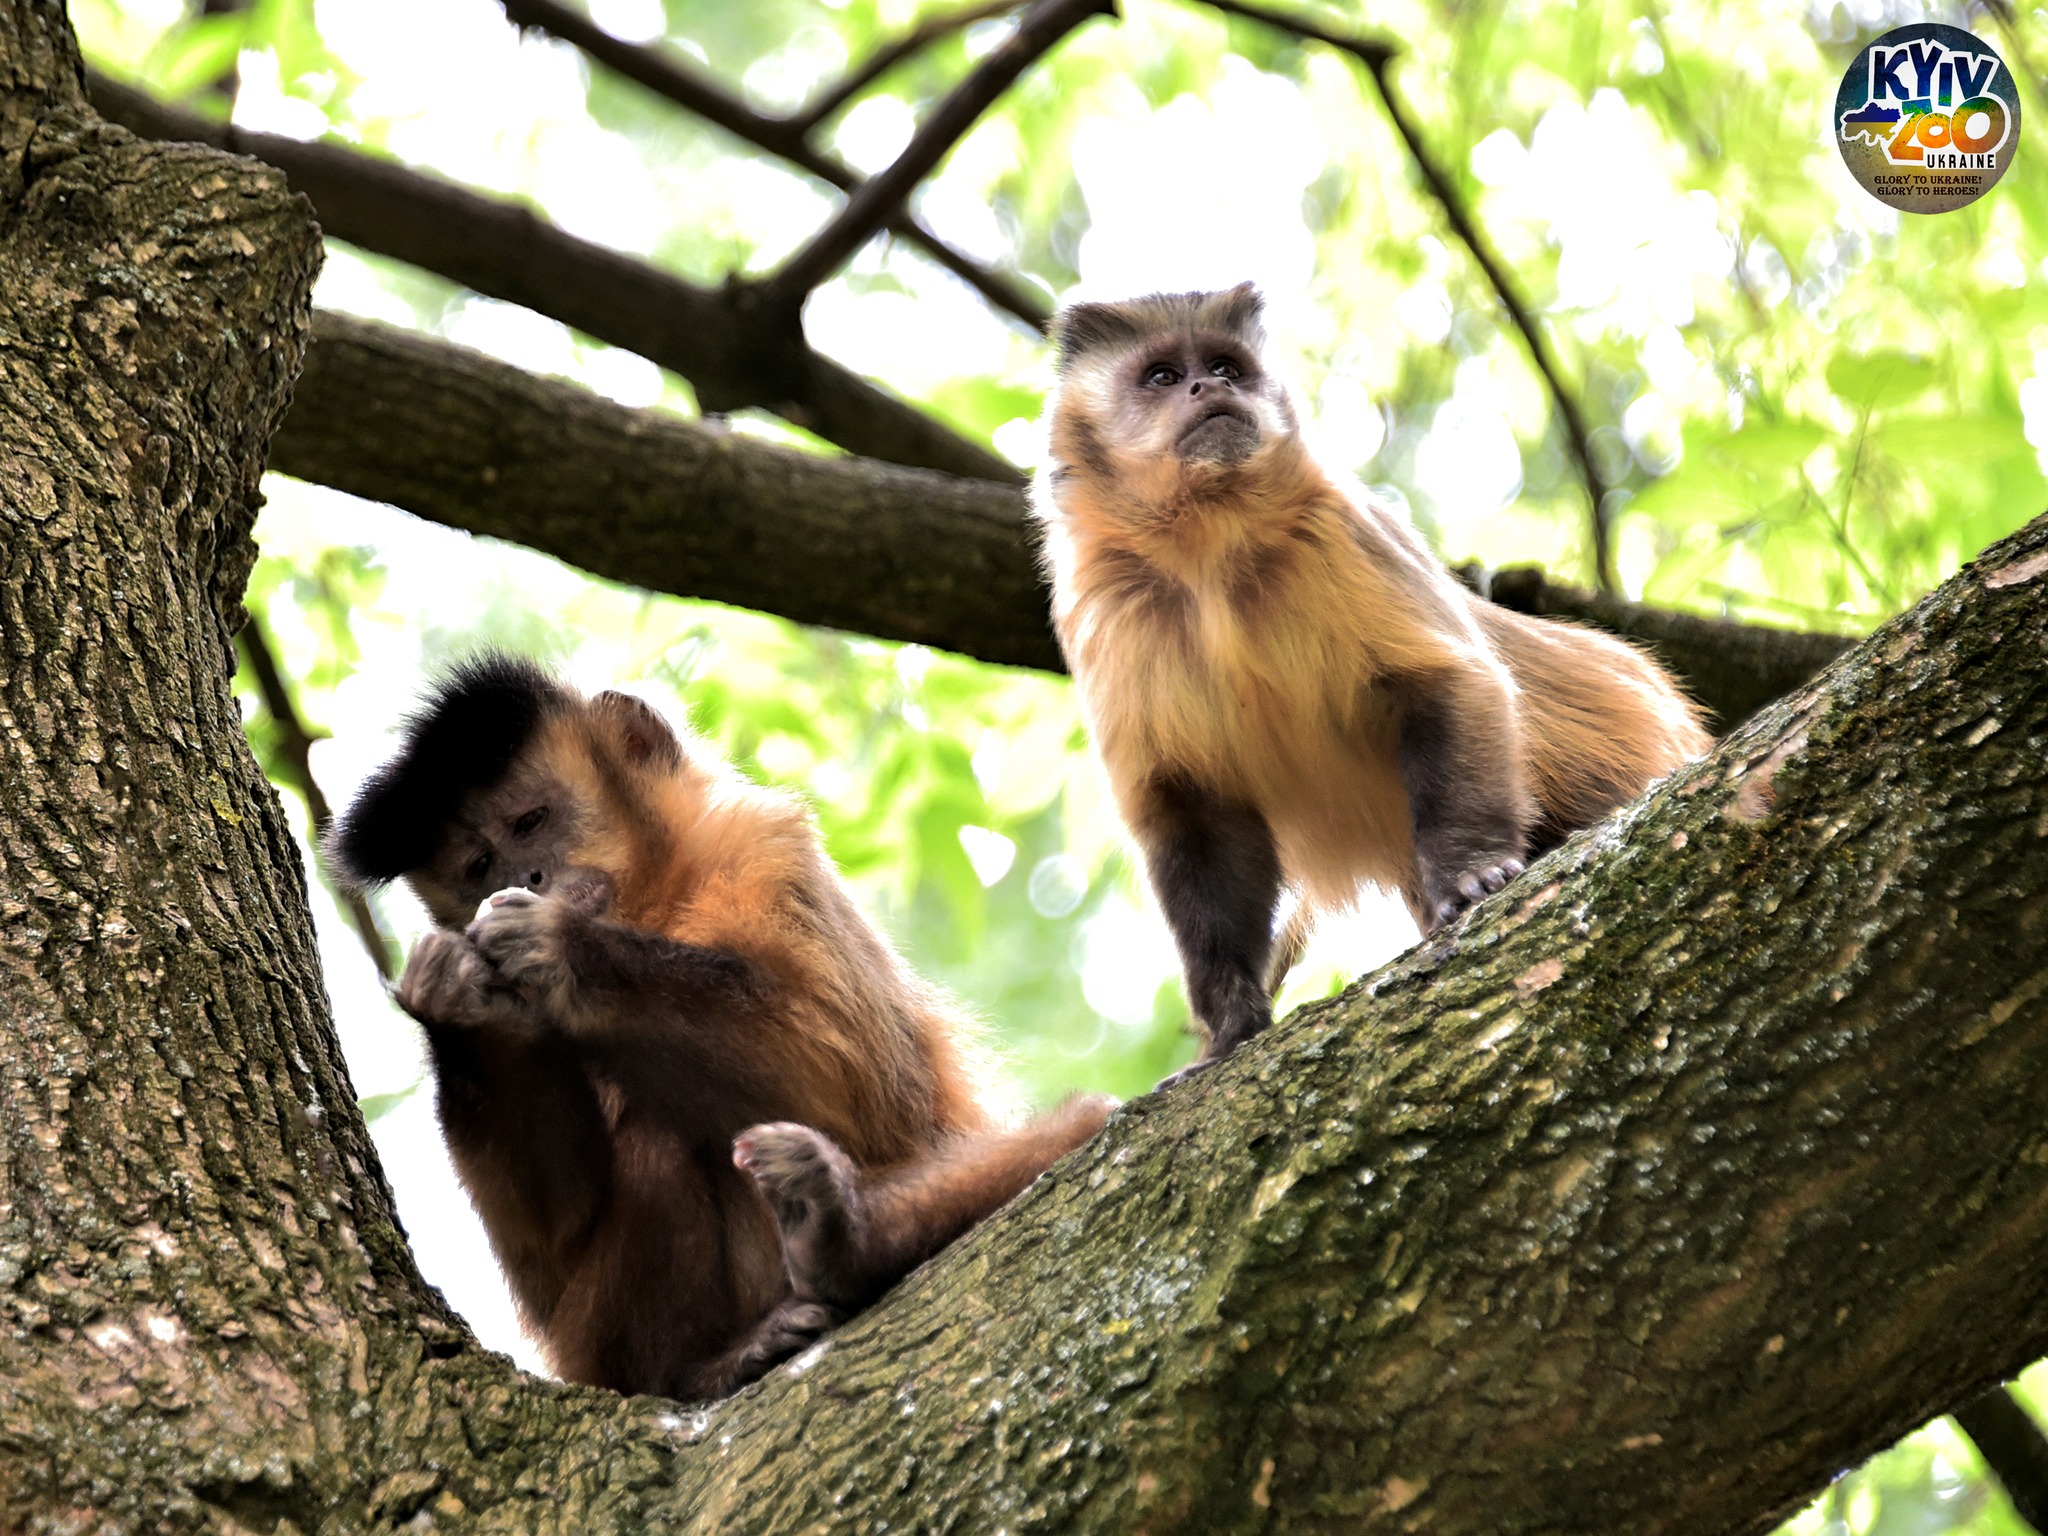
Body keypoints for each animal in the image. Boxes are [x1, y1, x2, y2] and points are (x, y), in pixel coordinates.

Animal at [327, 655, 1114, 1400]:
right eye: (479, 866)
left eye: (530, 822)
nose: (525, 878)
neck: (649, 899)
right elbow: (555, 1228)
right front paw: (461, 1007)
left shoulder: (760, 844)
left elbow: (857, 1082)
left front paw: (563, 951)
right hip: (596, 1349)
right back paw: (696, 1370)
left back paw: (850, 1242)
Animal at [1040, 288, 1712, 1073]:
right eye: (1163, 378)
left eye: (1223, 367)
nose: (1210, 389)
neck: (1206, 554)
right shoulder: (1105, 607)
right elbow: (1192, 812)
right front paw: (1230, 1022)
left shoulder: (1340, 527)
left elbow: (1449, 682)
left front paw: (1470, 873)